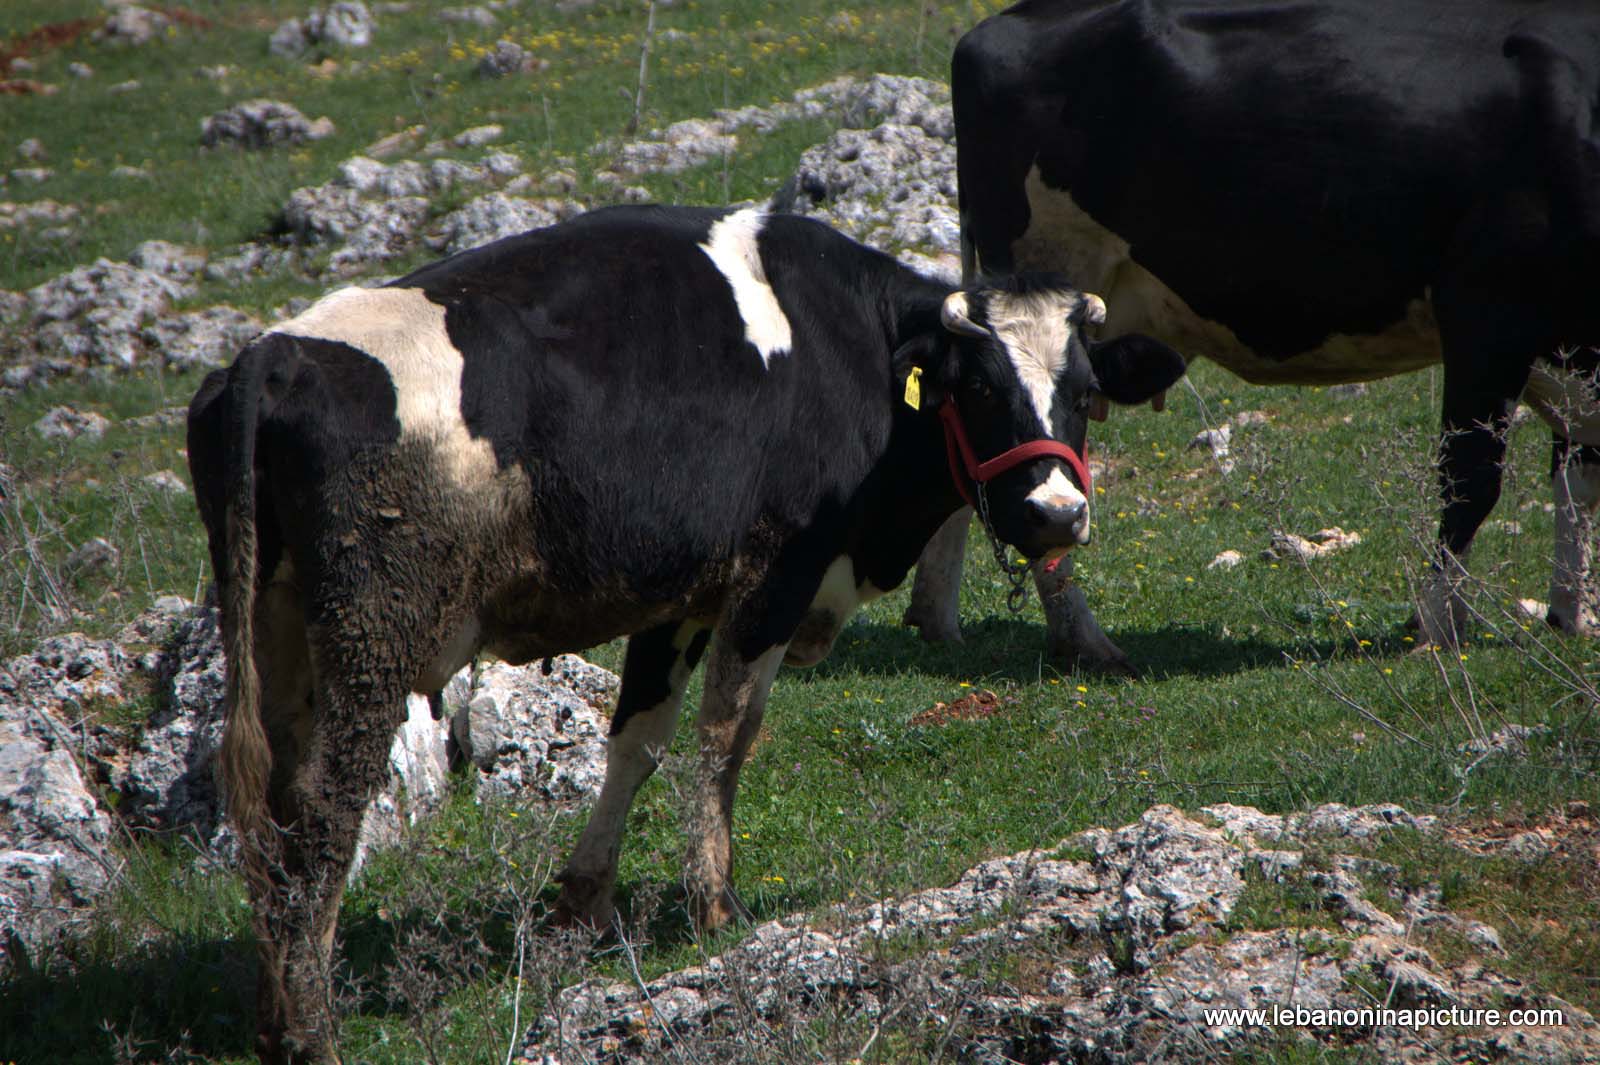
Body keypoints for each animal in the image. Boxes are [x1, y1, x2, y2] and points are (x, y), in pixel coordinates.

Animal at [190, 203, 1190, 1055]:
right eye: (979, 387)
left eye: (1086, 389)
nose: (1056, 513)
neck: (850, 349)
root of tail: (274, 354)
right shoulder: (771, 580)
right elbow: (727, 735)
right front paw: (715, 902)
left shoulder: (674, 602)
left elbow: (637, 741)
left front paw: (582, 906)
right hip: (373, 636)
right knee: (324, 809)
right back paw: (311, 1028)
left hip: (274, 628)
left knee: (272, 807)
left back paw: (274, 1009)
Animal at [915, 0, 1600, 668]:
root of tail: (998, 24)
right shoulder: (1488, 311)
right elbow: (1470, 480)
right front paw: (1437, 627)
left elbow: (1578, 480)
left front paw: (1573, 616)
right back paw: (1081, 639)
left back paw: (936, 620)